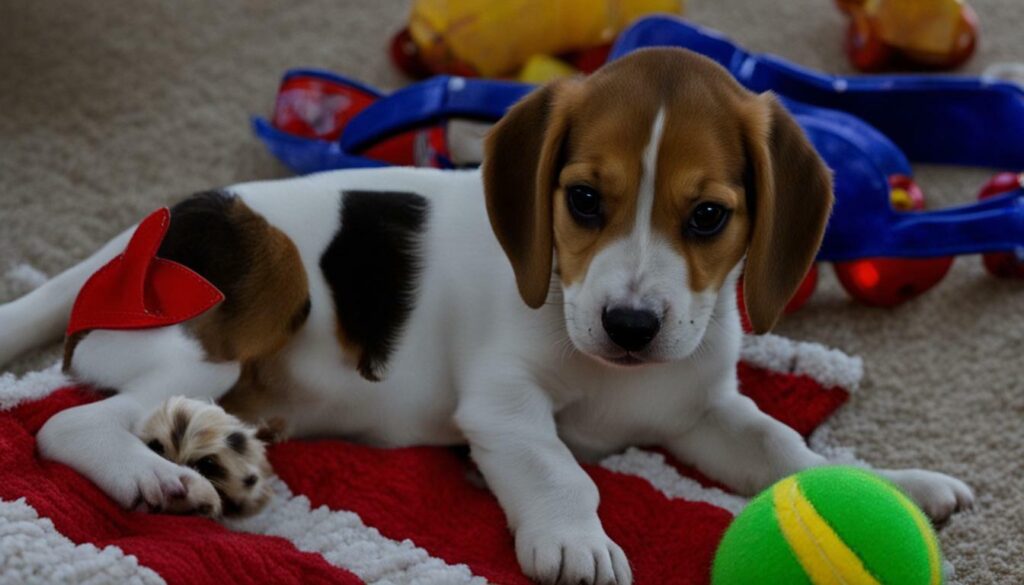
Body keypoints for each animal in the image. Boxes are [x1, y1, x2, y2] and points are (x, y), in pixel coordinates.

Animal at [0, 49, 966, 585]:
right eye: (583, 200)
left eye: (707, 217)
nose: (631, 324)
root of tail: (129, 239)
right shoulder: (504, 405)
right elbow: (559, 469)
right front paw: (576, 541)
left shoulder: (703, 411)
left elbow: (783, 449)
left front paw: (896, 486)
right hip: (253, 292)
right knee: (71, 422)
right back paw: (156, 475)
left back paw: (222, 454)